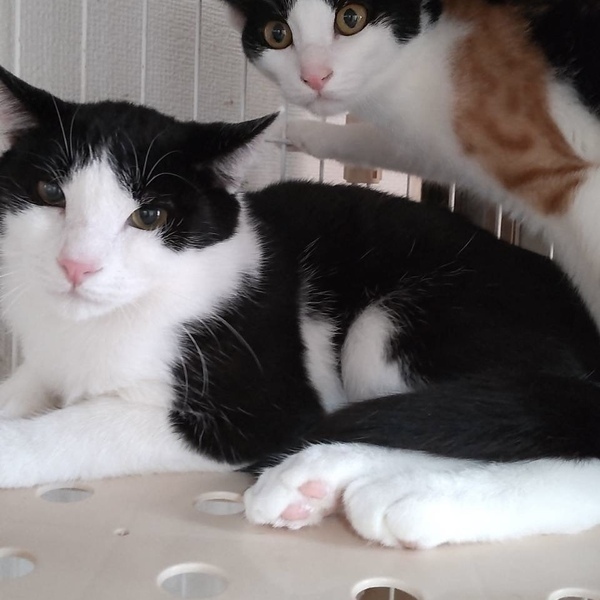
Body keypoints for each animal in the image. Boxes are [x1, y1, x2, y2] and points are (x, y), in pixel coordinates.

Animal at [1, 65, 600, 549]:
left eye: (149, 217)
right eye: (50, 193)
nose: (76, 265)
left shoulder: (252, 405)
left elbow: (80, 427)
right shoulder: (46, 358)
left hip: (387, 329)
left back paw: (389, 491)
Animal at [221, 0, 600, 331]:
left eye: (351, 18)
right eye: (277, 34)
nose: (315, 77)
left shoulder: (567, 178)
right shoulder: (432, 144)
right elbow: (389, 145)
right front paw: (294, 130)